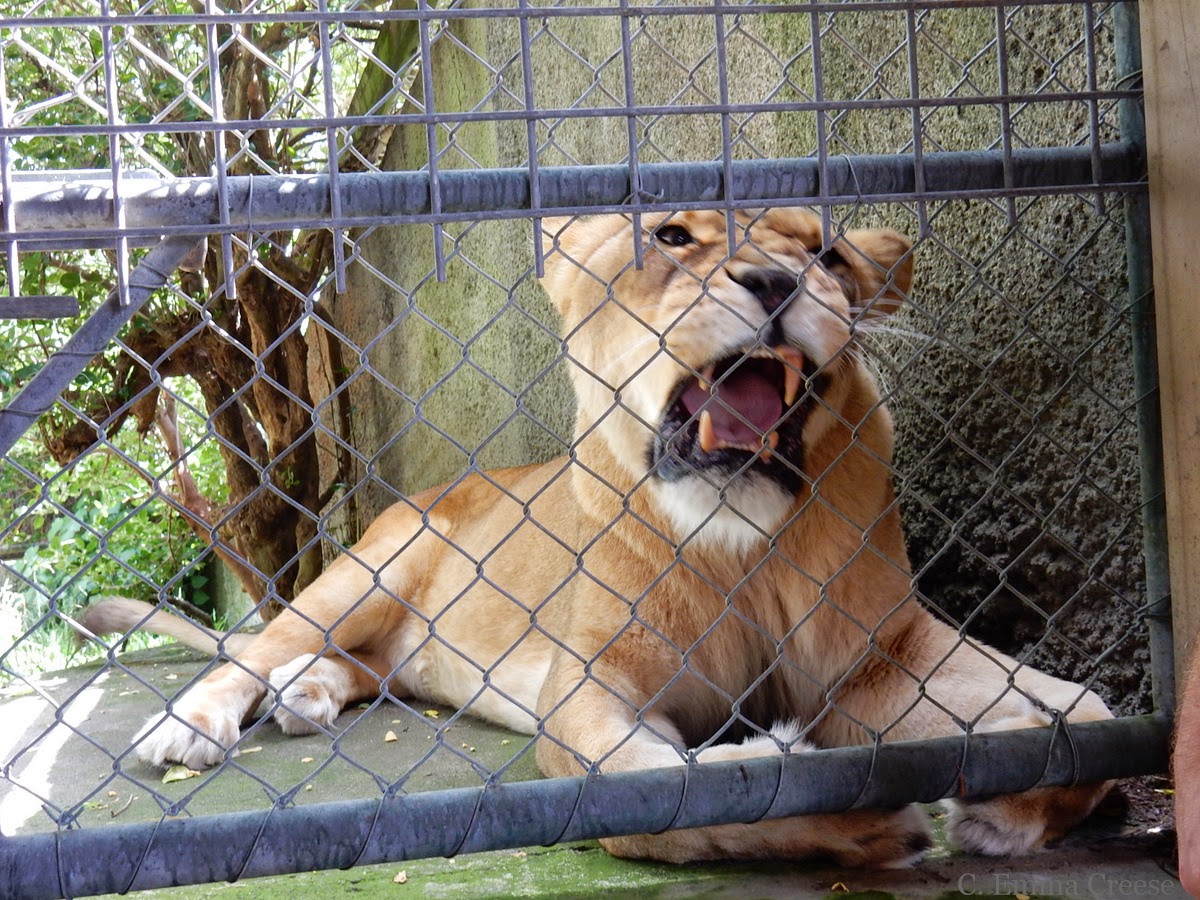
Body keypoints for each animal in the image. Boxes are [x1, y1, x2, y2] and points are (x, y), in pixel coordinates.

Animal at [83, 208, 1113, 867]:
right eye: (671, 238)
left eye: (827, 253)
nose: (778, 281)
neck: (743, 543)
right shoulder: (588, 687)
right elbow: (656, 790)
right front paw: (821, 793)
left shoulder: (879, 658)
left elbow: (1088, 715)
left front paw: (1013, 786)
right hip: (367, 573)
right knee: (254, 651)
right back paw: (194, 724)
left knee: (356, 668)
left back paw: (307, 698)